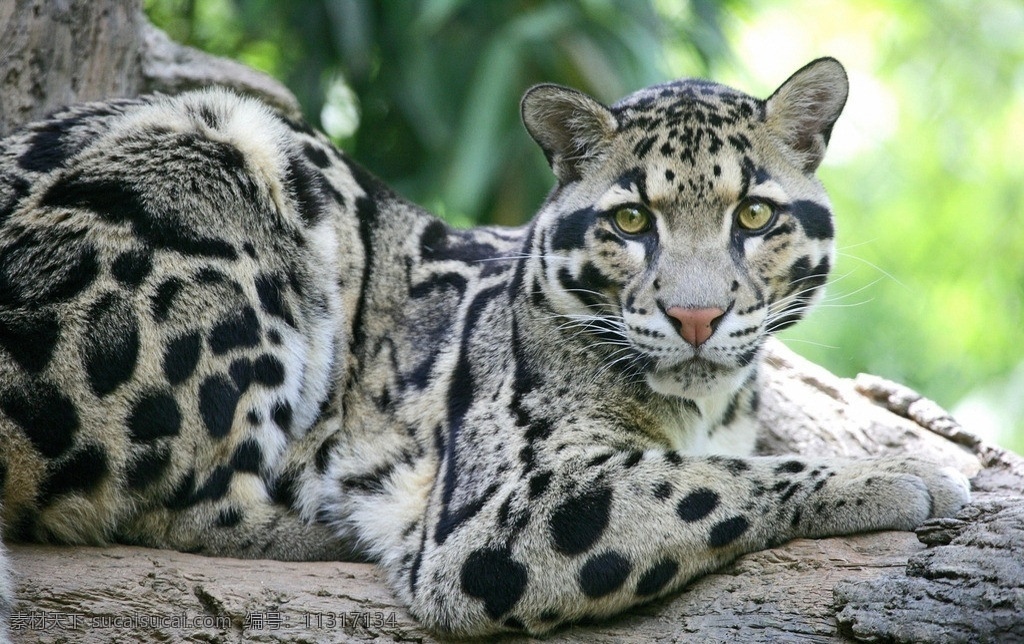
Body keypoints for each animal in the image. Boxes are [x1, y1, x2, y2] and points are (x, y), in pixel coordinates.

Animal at [0, 57, 966, 634]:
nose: (695, 317)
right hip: (222, 153)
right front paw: (899, 474)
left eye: (755, 215)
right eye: (631, 220)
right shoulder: (498, 512)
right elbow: (708, 480)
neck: (704, 399)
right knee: (161, 502)